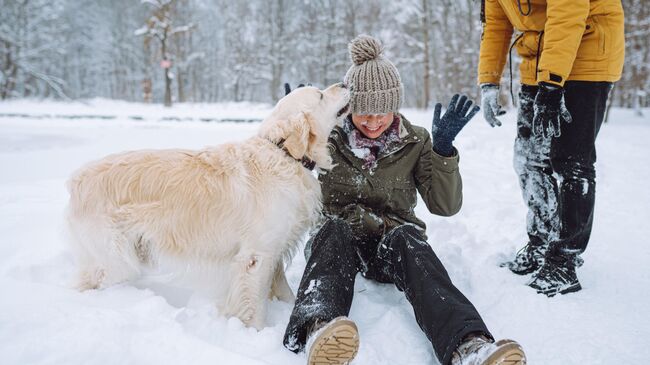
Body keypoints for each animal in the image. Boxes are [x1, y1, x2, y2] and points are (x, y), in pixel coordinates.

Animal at [66, 82, 350, 328]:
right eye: (320, 95)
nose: (345, 84)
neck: (283, 154)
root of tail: (77, 177)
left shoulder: (275, 248)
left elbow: (281, 288)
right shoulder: (256, 256)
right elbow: (254, 303)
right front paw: (256, 333)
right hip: (117, 260)